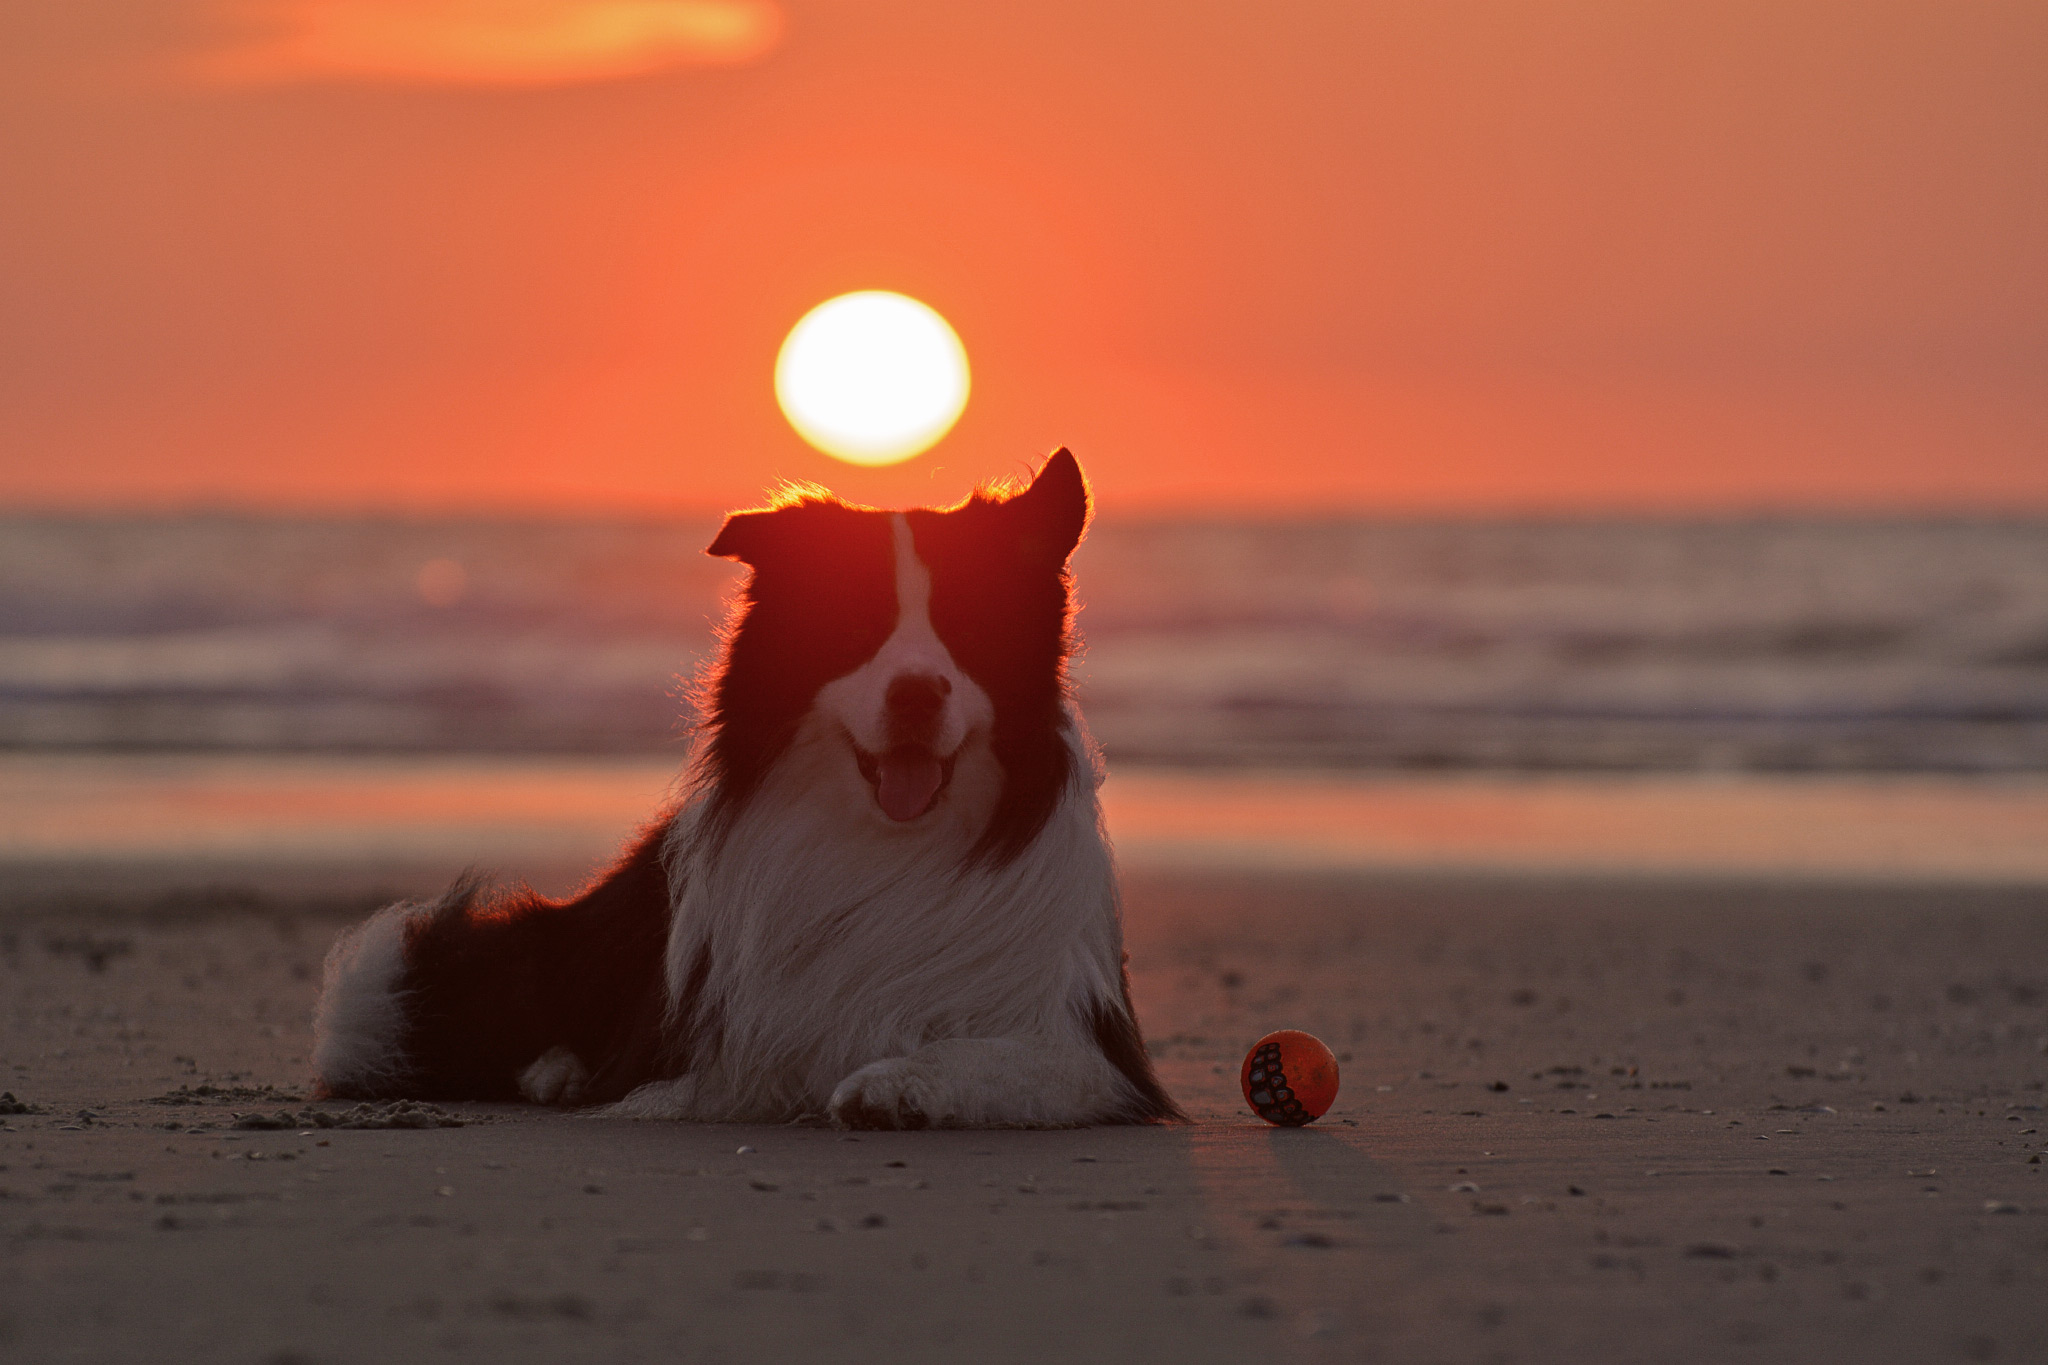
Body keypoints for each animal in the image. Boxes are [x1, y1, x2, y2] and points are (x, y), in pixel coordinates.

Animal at [317, 450, 1187, 1129]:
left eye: (970, 628)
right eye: (855, 626)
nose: (915, 694)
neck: (890, 841)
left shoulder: (1089, 1052)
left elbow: (984, 1056)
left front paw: (896, 1082)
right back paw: (555, 1068)